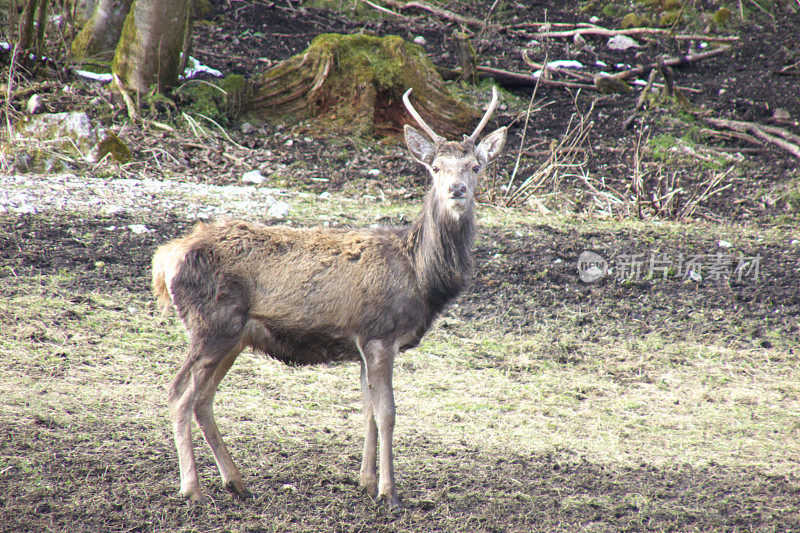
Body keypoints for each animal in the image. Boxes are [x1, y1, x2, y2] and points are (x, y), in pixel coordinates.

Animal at [150, 87, 506, 508]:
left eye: (475, 167)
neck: (421, 276)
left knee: (202, 399)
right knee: (178, 395)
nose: (457, 189)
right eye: (435, 168)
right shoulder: (380, 333)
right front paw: (389, 491)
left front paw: (365, 481)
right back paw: (192, 487)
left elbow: (368, 410)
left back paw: (236, 481)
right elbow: (387, 413)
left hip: (234, 336)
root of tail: (166, 259)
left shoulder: (364, 342)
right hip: (210, 325)